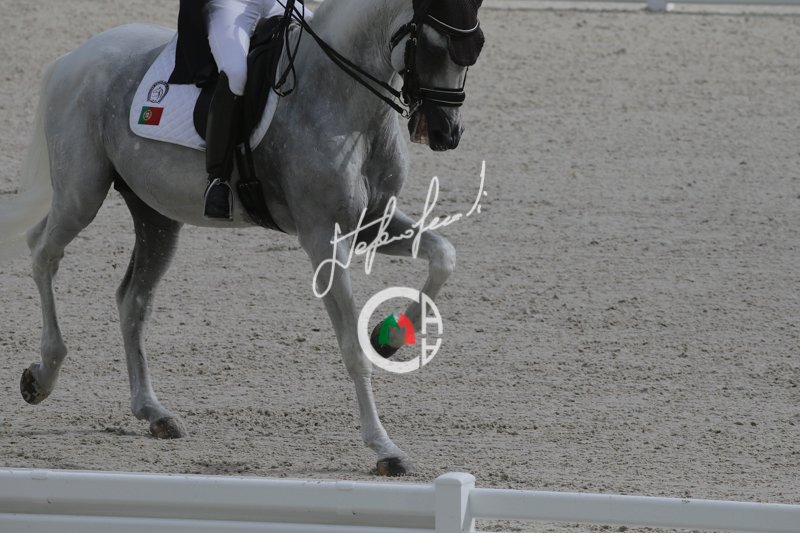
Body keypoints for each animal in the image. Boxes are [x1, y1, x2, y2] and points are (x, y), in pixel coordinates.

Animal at [0, 0, 485, 476]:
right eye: (435, 46)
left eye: (474, 49)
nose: (446, 133)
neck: (342, 95)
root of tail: (74, 57)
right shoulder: (322, 238)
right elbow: (351, 347)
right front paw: (384, 448)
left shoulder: (373, 221)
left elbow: (444, 256)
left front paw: (389, 337)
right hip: (82, 192)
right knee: (43, 253)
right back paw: (42, 376)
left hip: (156, 217)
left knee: (132, 301)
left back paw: (153, 412)